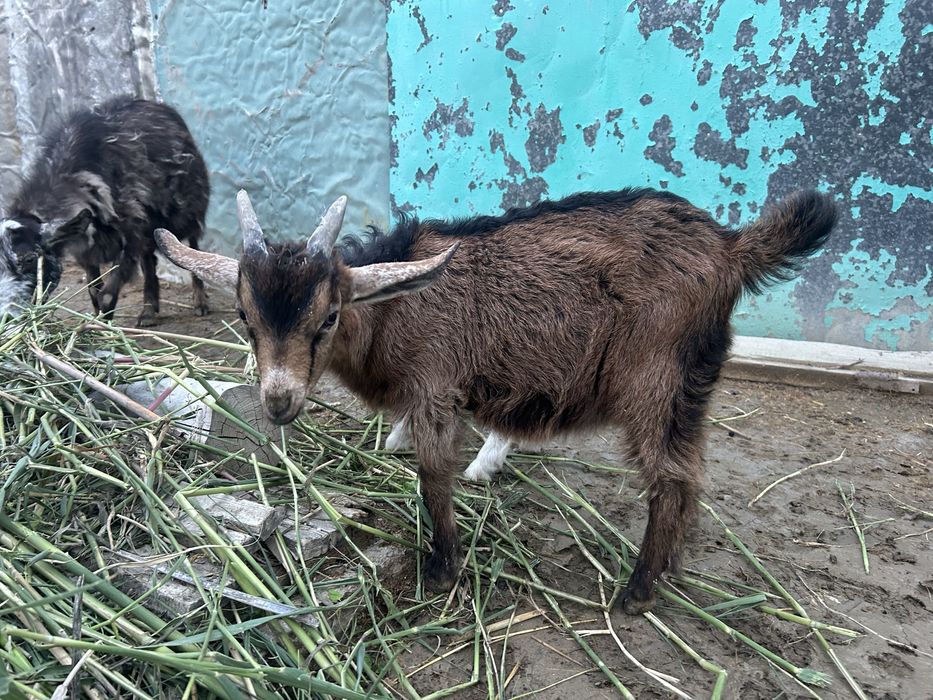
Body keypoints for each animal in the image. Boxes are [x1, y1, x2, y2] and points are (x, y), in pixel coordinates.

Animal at [0, 97, 210, 326]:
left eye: (30, 259)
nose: (5, 316)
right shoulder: (86, 251)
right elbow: (94, 290)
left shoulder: (128, 239)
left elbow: (107, 295)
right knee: (149, 260)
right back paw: (148, 311)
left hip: (185, 211)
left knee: (191, 243)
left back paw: (200, 302)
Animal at [155, 187, 836, 613]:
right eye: (244, 317)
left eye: (327, 318)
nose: (277, 401)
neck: (395, 306)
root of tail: (732, 248)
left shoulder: (436, 384)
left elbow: (433, 473)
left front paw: (443, 567)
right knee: (690, 474)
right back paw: (670, 566)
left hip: (658, 378)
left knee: (671, 476)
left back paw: (638, 590)